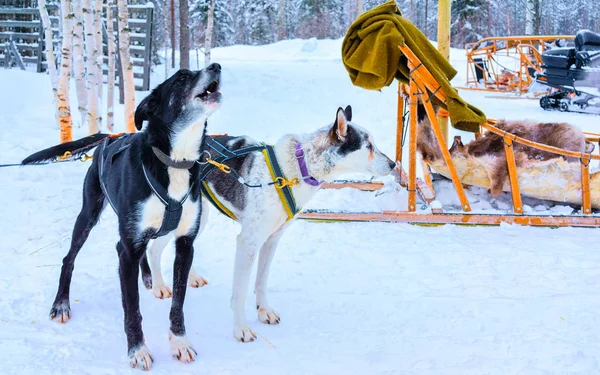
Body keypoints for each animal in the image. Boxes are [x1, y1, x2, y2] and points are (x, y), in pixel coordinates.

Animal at [21, 65, 223, 370]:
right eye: (181, 78)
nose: (216, 67)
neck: (174, 161)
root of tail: (111, 137)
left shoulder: (185, 244)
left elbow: (178, 303)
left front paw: (179, 342)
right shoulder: (128, 250)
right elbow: (132, 308)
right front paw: (137, 350)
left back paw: (149, 278)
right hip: (88, 215)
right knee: (69, 258)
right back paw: (61, 304)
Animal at [141, 106, 394, 344]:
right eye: (368, 146)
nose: (393, 164)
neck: (298, 168)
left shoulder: (272, 240)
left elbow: (261, 282)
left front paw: (263, 311)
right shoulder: (248, 243)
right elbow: (240, 292)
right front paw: (241, 329)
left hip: (198, 220)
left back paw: (191, 277)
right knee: (154, 249)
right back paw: (160, 286)